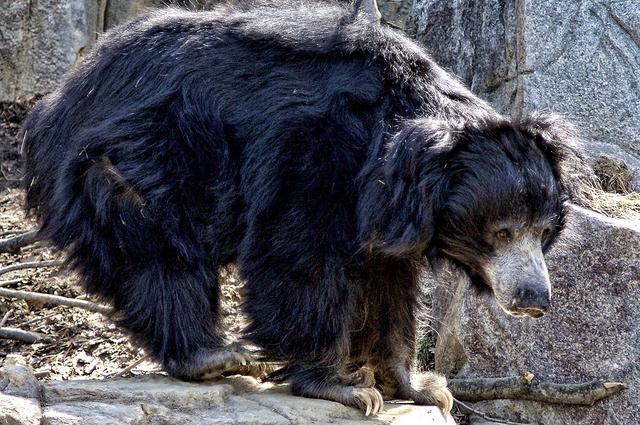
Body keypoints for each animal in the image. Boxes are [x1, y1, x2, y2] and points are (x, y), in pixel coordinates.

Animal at [22, 1, 583, 416]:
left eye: (543, 231)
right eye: (504, 231)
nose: (535, 299)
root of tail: (62, 98)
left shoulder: (388, 219)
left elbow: (390, 286)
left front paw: (422, 387)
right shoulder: (315, 159)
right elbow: (299, 257)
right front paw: (347, 388)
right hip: (139, 159)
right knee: (158, 252)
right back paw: (217, 356)